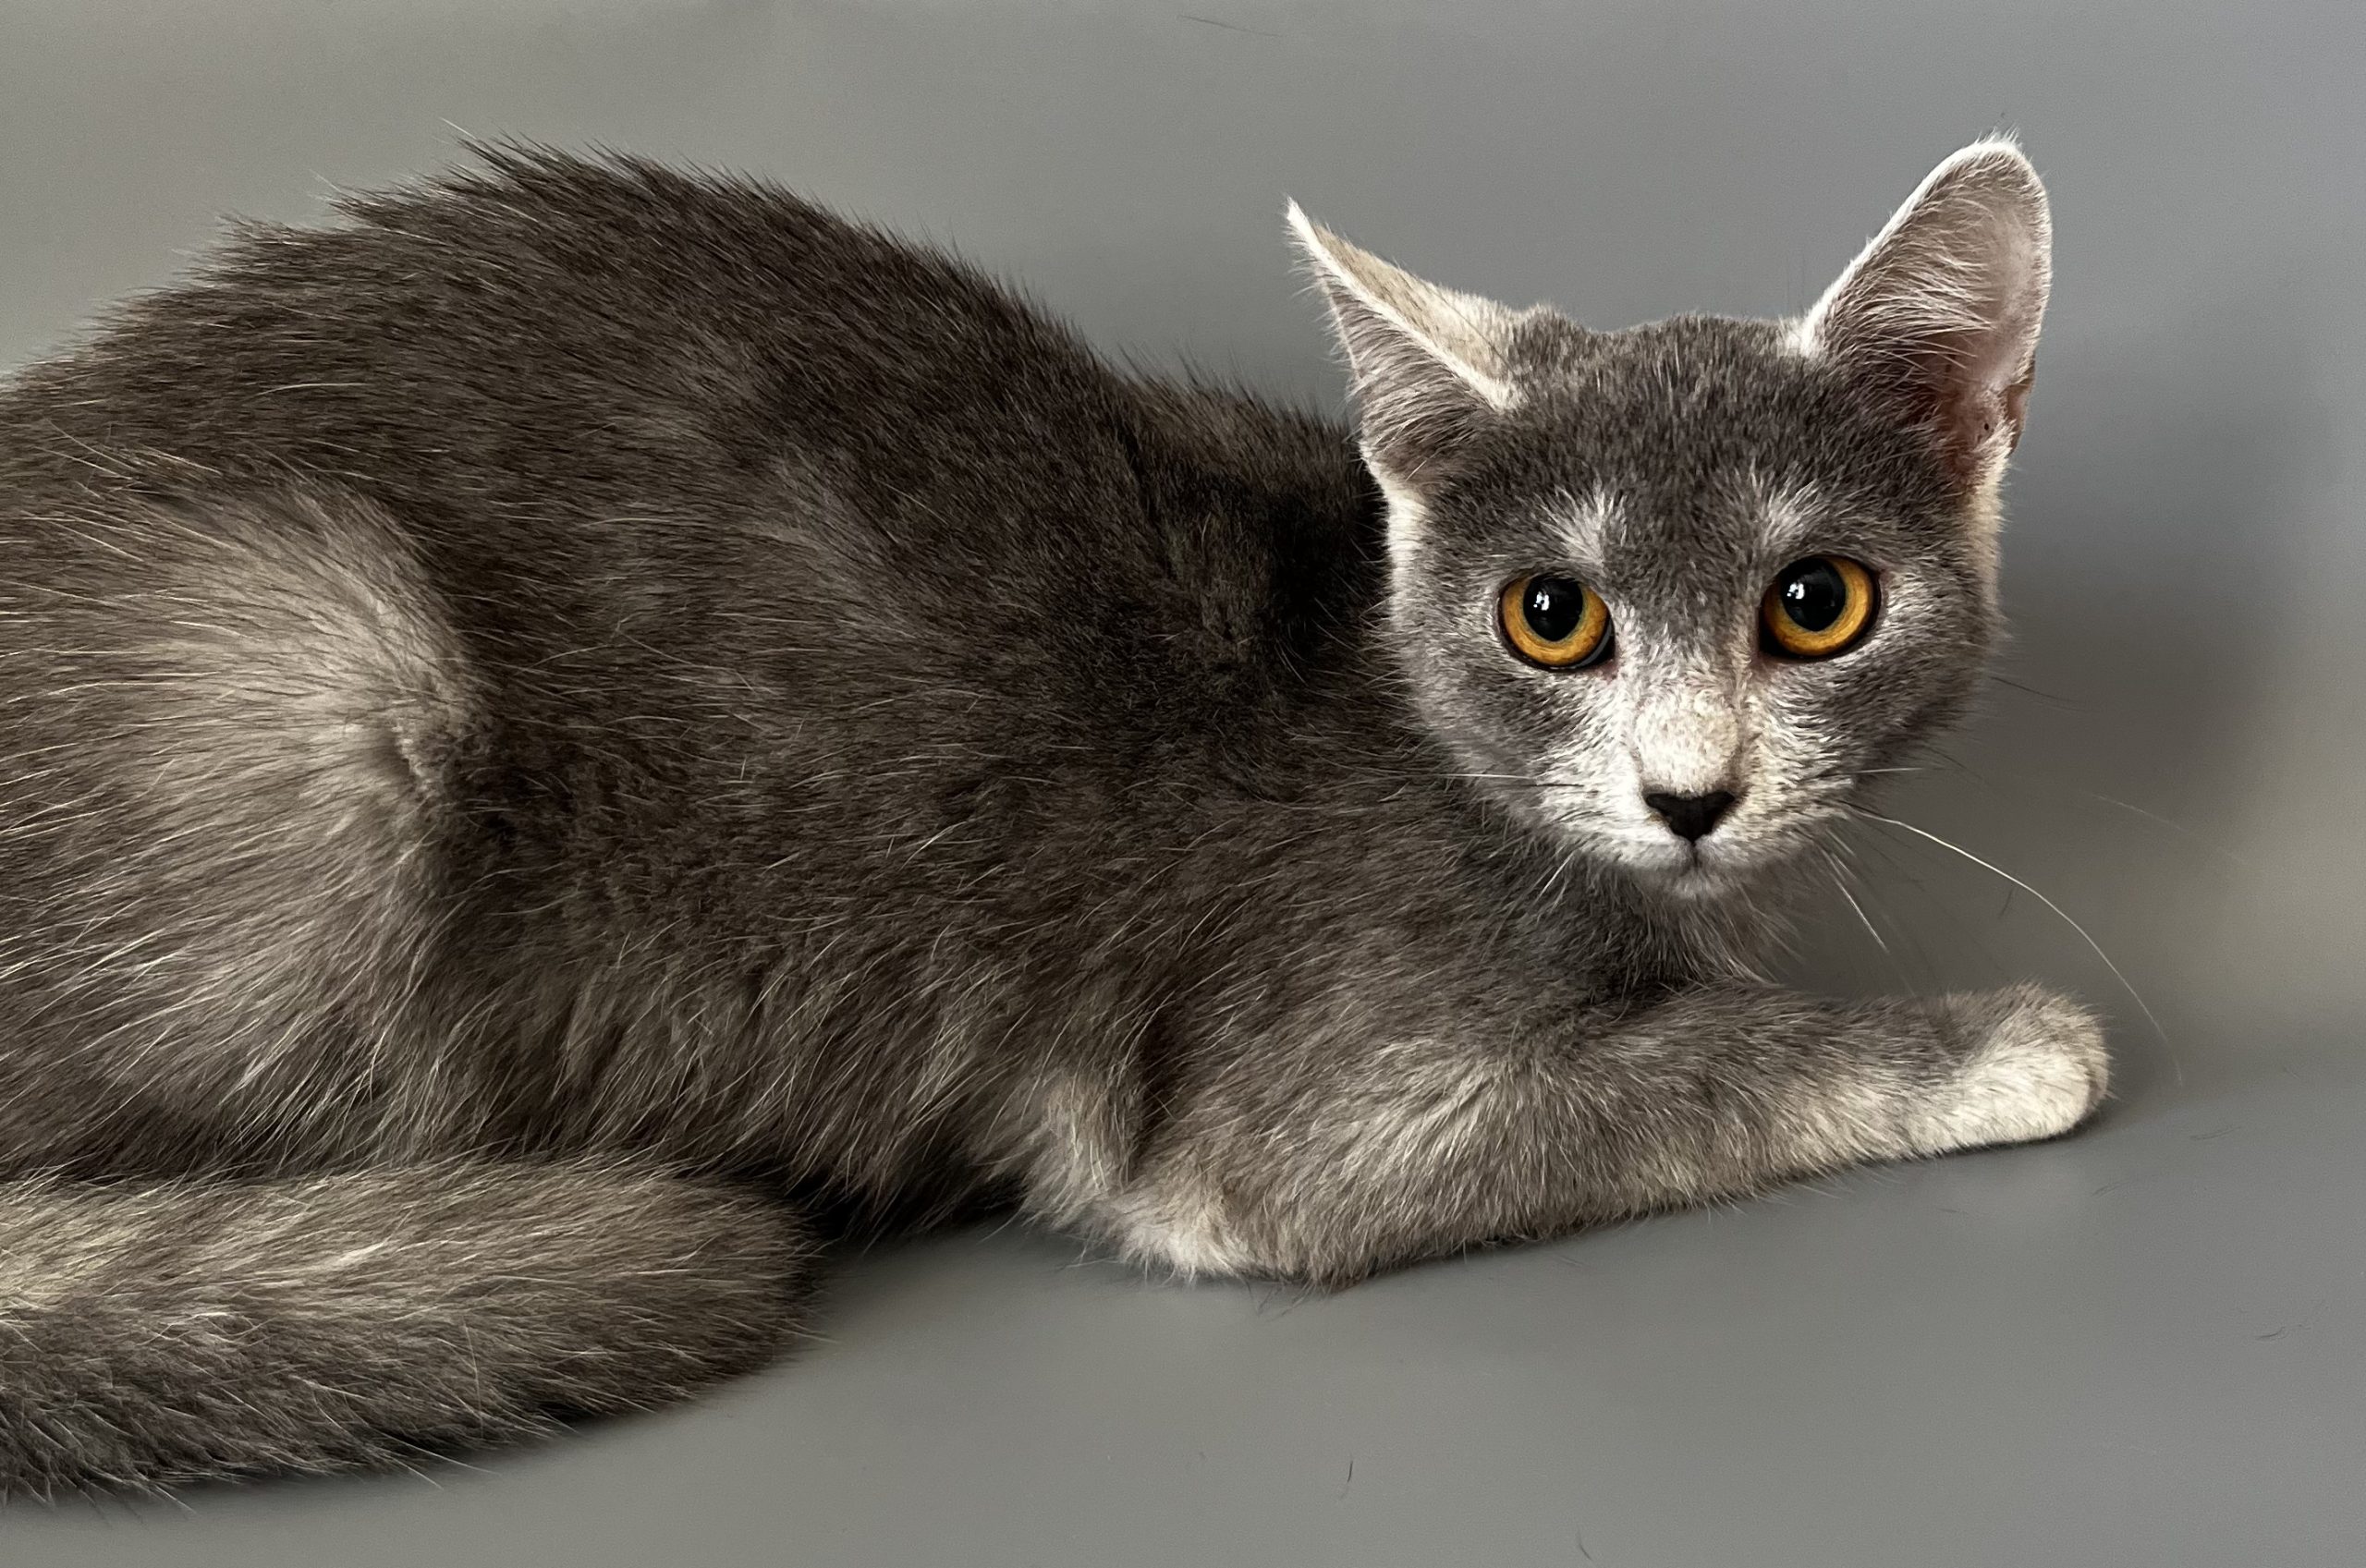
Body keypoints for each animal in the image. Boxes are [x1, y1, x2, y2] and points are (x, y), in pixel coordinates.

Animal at [0, 135, 2100, 1494]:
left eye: (1814, 602)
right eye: (1550, 615)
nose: (1688, 788)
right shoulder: (1295, 1119)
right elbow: (1701, 1063)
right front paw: (2001, 1041)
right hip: (318, 677)